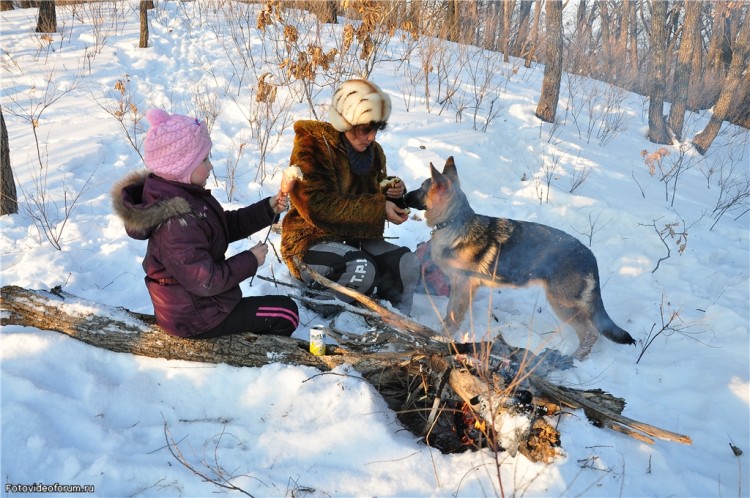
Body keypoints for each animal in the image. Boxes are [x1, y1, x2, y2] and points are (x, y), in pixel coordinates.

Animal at [406, 158, 636, 360]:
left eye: (421, 188)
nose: (403, 196)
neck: (454, 222)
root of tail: (590, 256)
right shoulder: (460, 286)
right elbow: (449, 312)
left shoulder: (462, 286)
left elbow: (452, 315)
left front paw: (443, 335)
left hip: (562, 304)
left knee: (591, 333)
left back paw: (574, 360)